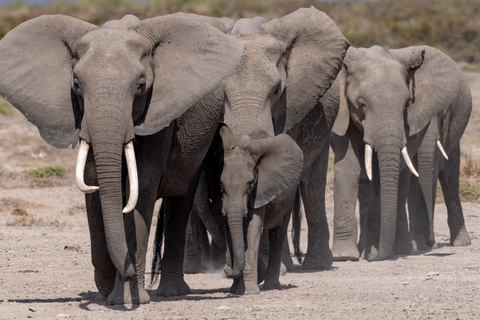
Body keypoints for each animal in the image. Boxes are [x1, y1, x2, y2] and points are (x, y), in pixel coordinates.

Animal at [0, 13, 244, 304]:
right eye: (76, 85)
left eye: (141, 86)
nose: (127, 274)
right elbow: (95, 187)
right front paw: (107, 287)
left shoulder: (157, 115)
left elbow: (143, 189)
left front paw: (128, 298)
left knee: (181, 201)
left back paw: (172, 291)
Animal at [330, 44, 472, 260]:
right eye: (361, 104)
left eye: (407, 105)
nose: (430, 242)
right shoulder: (344, 114)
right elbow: (348, 167)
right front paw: (344, 256)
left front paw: (373, 252)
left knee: (447, 176)